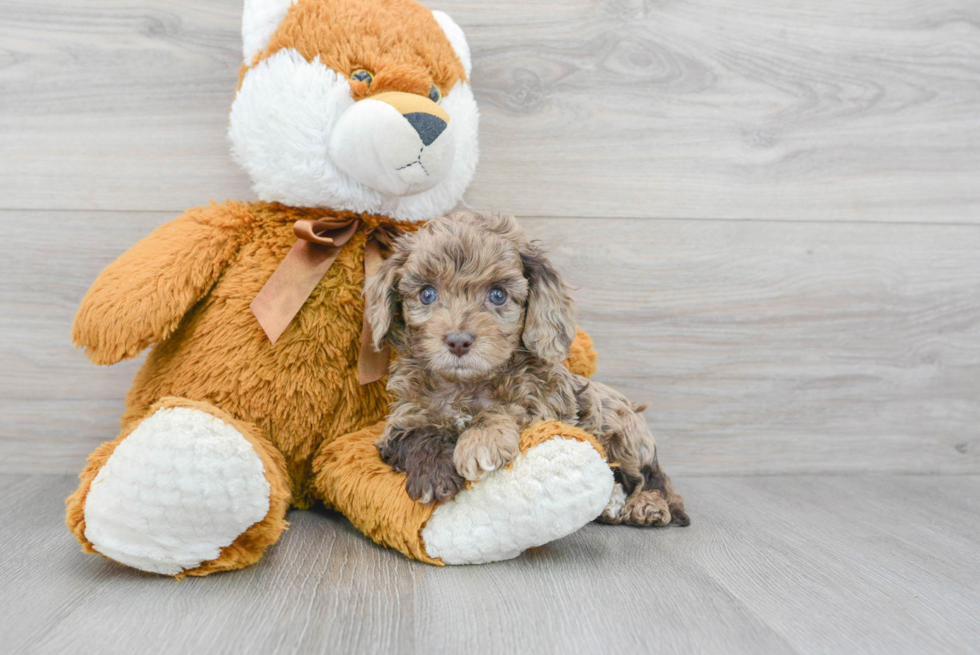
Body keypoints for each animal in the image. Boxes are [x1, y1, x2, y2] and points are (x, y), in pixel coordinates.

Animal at [366, 213, 688, 532]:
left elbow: (505, 409)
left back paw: (645, 505)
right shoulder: (402, 417)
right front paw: (434, 475)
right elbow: (416, 432)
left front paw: (481, 441)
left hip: (622, 429)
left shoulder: (545, 403)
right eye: (427, 294)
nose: (458, 341)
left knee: (652, 478)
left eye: (497, 295)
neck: (465, 385)